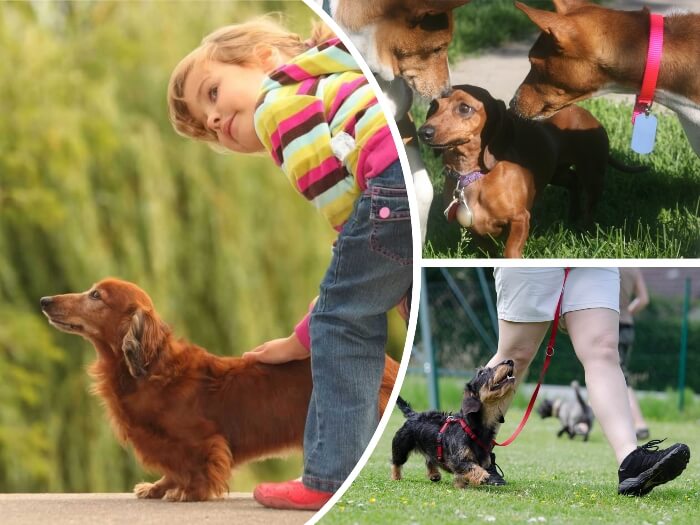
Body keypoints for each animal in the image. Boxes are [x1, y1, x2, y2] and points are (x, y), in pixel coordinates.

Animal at [39, 276, 400, 502]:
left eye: (96, 296)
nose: (44, 300)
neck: (152, 370)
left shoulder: (202, 439)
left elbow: (196, 465)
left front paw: (188, 492)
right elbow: (173, 468)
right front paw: (159, 487)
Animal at [392, 360, 516, 488]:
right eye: (482, 373)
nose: (509, 361)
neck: (471, 426)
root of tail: (413, 415)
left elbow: (463, 474)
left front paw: (460, 485)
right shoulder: (457, 459)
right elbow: (471, 467)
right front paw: (483, 476)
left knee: (429, 459)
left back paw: (434, 474)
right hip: (401, 447)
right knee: (396, 463)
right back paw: (396, 477)